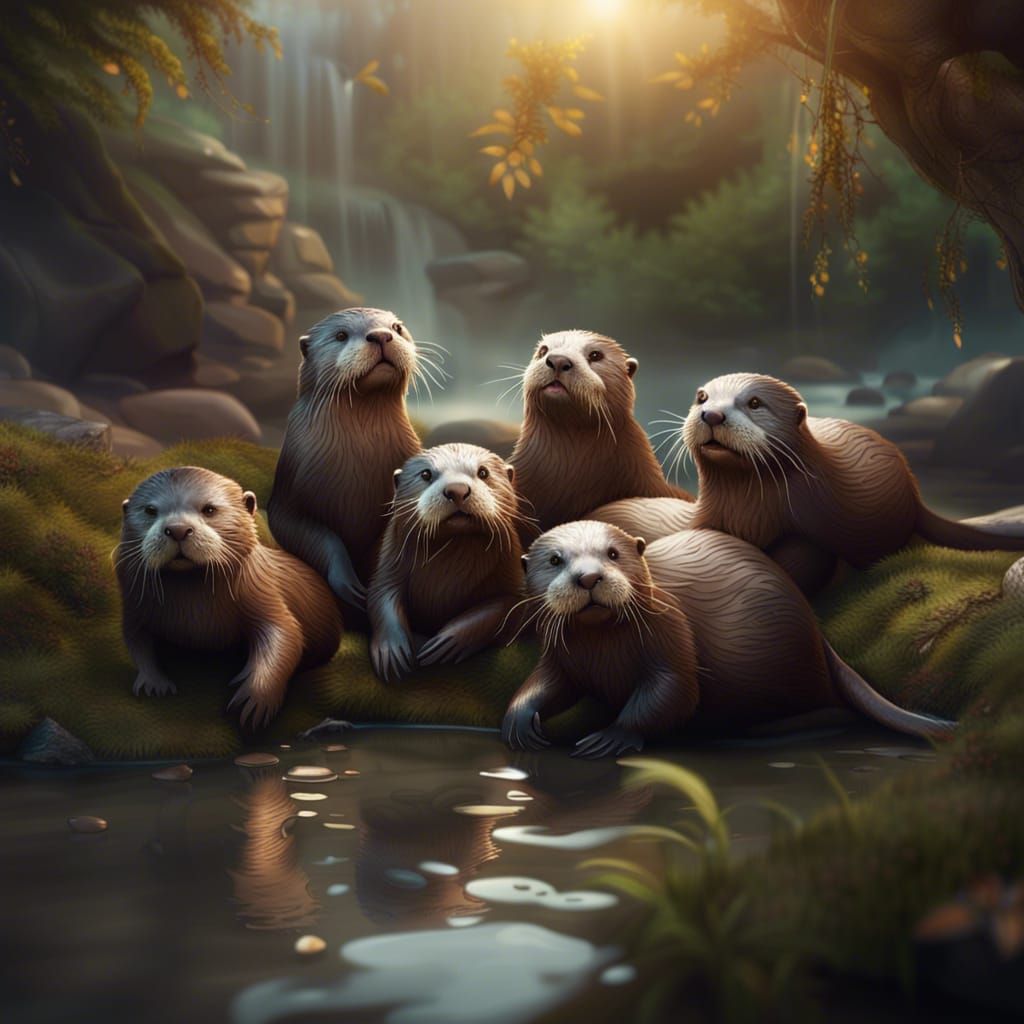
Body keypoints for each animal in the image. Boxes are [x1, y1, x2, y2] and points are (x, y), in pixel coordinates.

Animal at [117, 467, 342, 729]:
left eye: (209, 509)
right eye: (150, 510)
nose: (178, 529)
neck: (194, 613)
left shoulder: (263, 594)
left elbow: (285, 635)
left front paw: (256, 696)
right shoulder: (135, 605)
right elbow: (136, 639)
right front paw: (154, 683)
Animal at [268, 307, 439, 611]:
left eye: (396, 327)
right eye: (340, 335)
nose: (381, 335)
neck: (360, 459)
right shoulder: (286, 499)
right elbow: (313, 535)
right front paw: (348, 583)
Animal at [368, 444, 524, 681]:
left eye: (483, 472)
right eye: (426, 474)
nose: (457, 490)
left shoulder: (512, 572)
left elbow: (502, 607)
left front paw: (448, 642)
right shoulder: (389, 562)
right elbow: (381, 597)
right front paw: (392, 651)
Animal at [501, 521, 952, 757]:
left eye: (612, 553)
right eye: (555, 560)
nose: (589, 577)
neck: (602, 651)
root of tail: (816, 631)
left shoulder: (671, 631)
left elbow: (674, 691)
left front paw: (612, 736)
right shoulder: (560, 653)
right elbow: (546, 683)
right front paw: (520, 719)